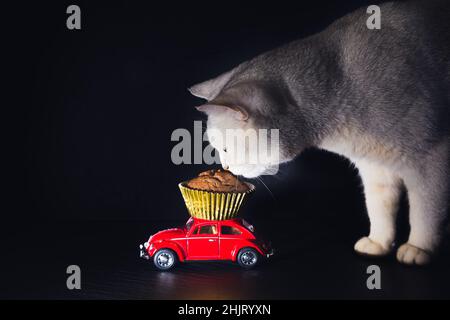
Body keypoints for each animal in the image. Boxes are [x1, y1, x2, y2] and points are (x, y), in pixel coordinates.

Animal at [188, 0, 448, 264]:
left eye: (225, 148)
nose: (226, 168)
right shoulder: (375, 169)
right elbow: (379, 206)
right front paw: (379, 242)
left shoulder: (431, 159)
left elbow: (425, 209)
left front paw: (420, 247)